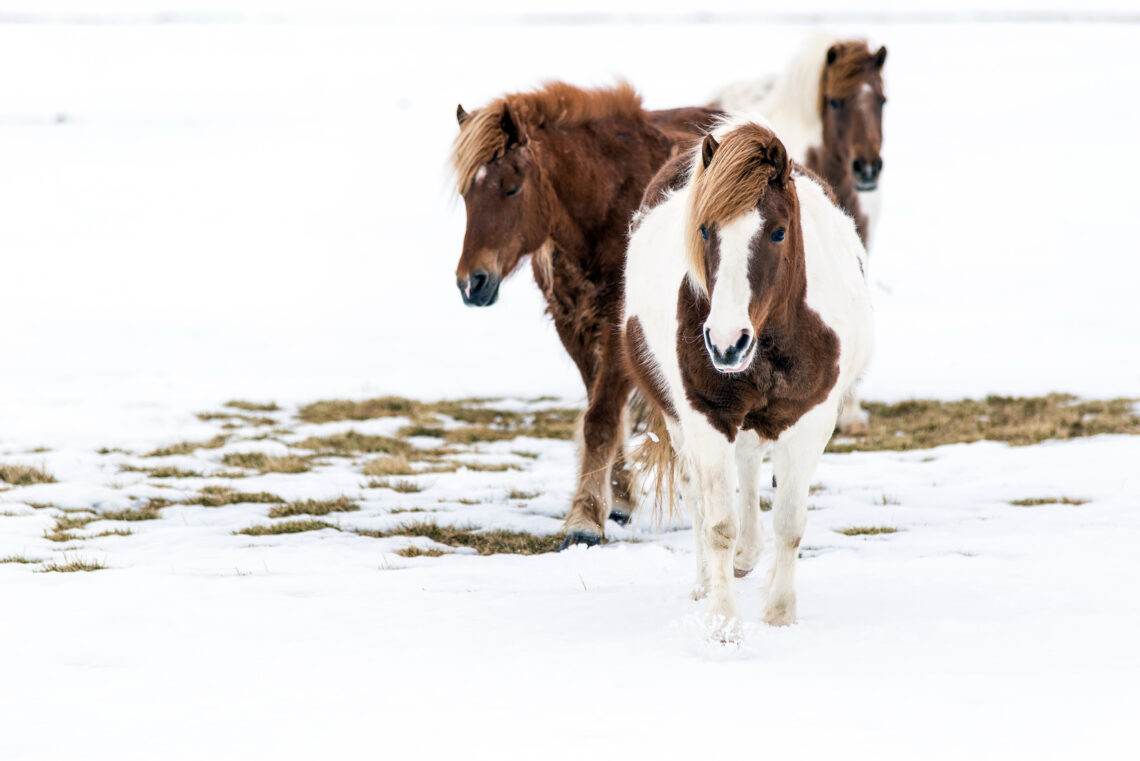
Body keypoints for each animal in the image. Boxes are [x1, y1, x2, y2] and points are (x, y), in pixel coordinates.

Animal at [449, 82, 715, 546]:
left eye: (512, 188)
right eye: (467, 193)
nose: (471, 283)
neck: (606, 206)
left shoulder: (617, 329)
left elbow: (601, 417)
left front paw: (584, 521)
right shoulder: (571, 325)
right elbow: (604, 410)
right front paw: (618, 499)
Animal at [620, 119, 866, 637]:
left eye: (778, 232)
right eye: (704, 229)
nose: (725, 342)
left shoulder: (810, 421)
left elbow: (789, 522)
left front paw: (780, 614)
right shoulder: (706, 418)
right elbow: (717, 525)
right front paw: (722, 622)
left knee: (751, 466)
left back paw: (750, 557)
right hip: (679, 421)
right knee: (696, 494)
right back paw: (708, 579)